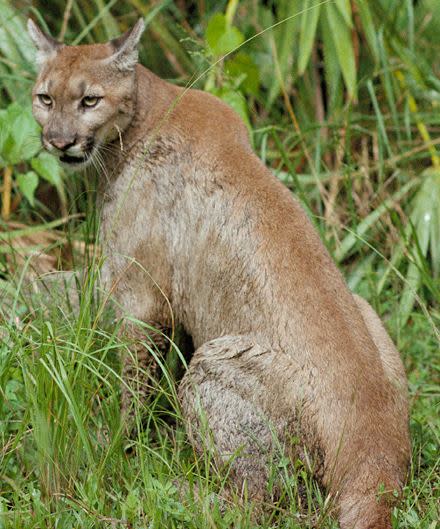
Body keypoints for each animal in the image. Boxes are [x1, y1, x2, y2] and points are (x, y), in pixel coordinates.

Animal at [29, 17, 410, 528]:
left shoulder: (140, 296)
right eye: (45, 98)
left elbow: (133, 384)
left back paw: (175, 493)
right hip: (365, 311)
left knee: (259, 503)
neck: (143, 116)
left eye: (89, 100)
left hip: (216, 359)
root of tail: (374, 442)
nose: (59, 141)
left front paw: (117, 447)